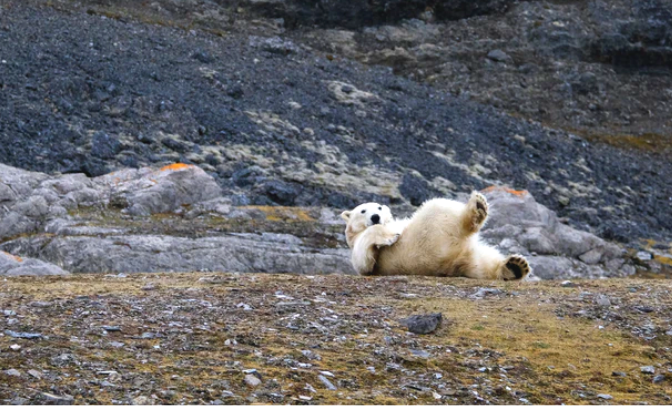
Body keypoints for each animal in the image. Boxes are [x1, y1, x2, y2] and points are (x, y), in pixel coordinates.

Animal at [342, 192, 532, 280]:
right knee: (438, 206)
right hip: (426, 237)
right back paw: (477, 207)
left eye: (379, 207)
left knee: (484, 264)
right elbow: (364, 260)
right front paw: (390, 236)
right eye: (363, 211)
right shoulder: (362, 253)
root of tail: (450, 262)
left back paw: (515, 266)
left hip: (466, 256)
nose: (376, 217)